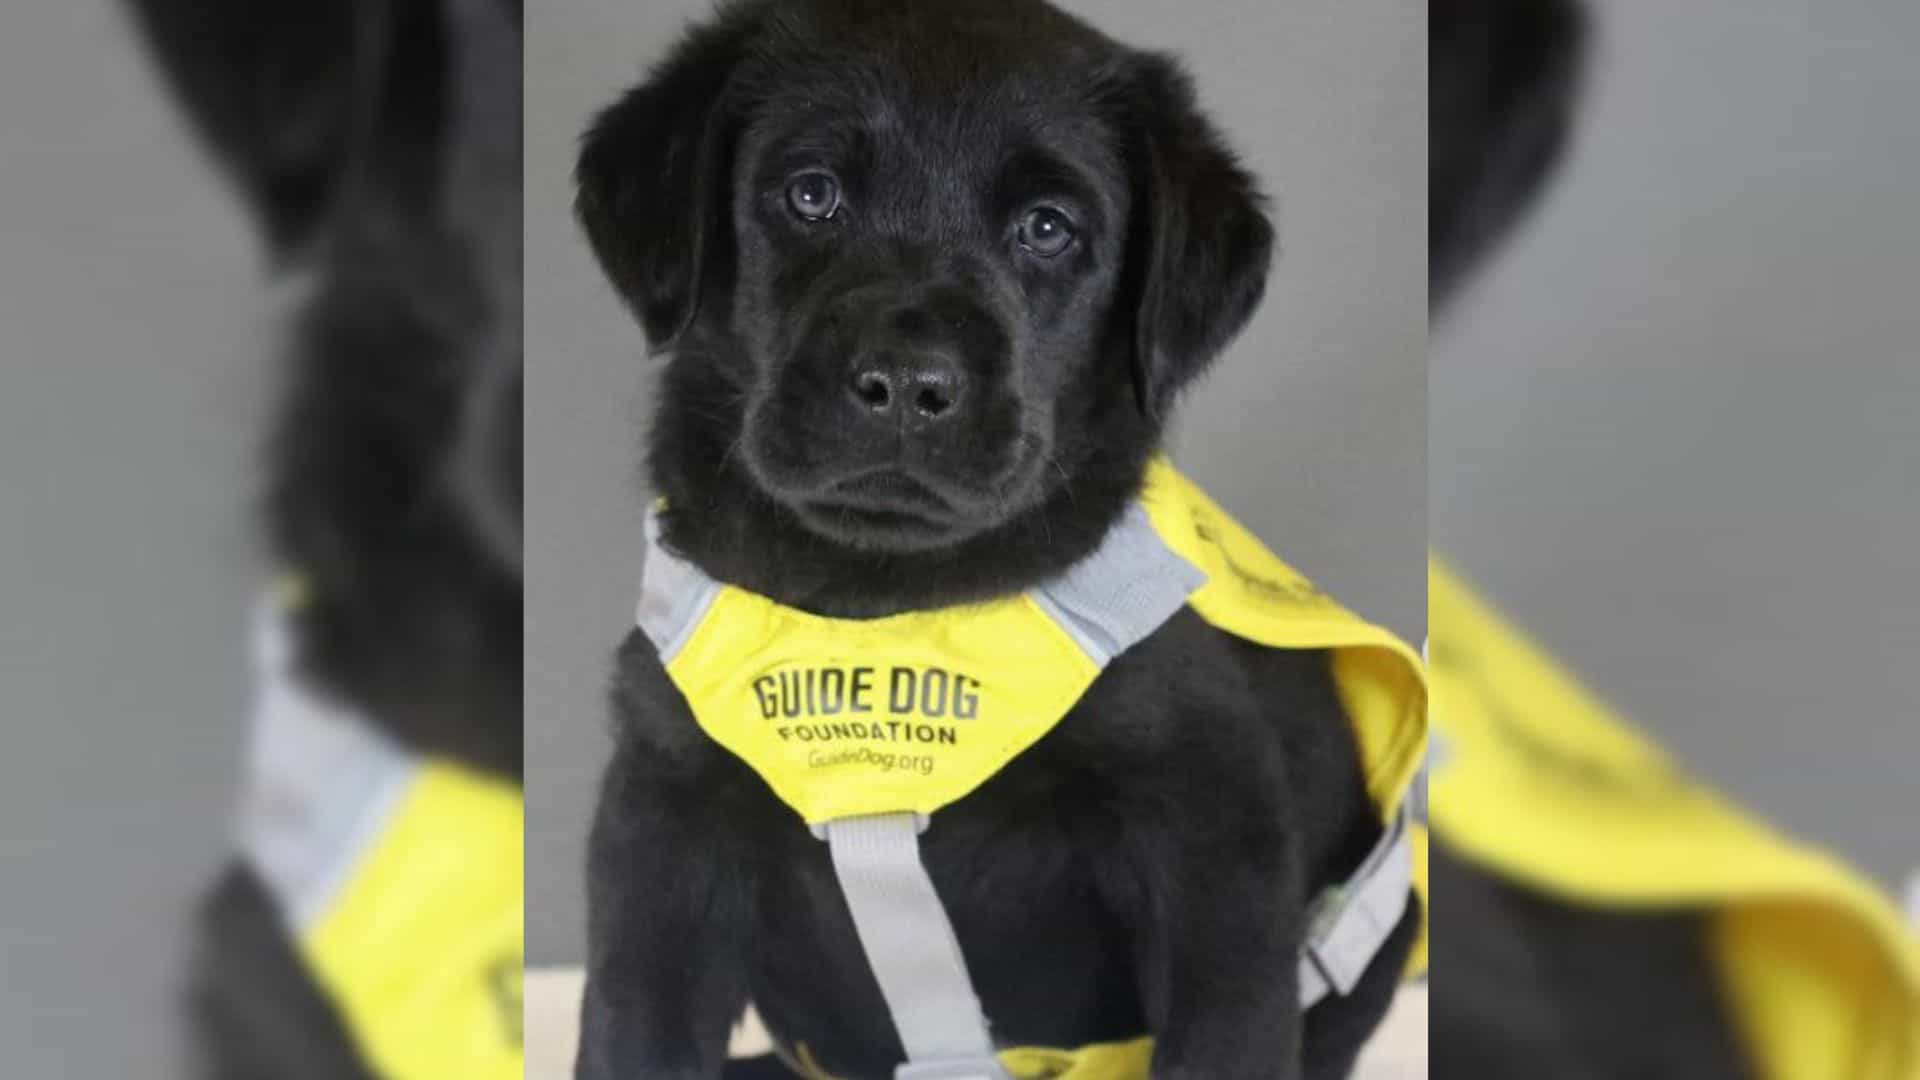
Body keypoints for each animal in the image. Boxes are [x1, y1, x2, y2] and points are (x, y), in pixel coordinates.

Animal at [576, 2, 1420, 1076]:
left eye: (1047, 228)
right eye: (811, 193)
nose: (905, 381)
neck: (883, 600)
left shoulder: (1211, 843)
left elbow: (1224, 1030)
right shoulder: (662, 826)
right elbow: (631, 1030)